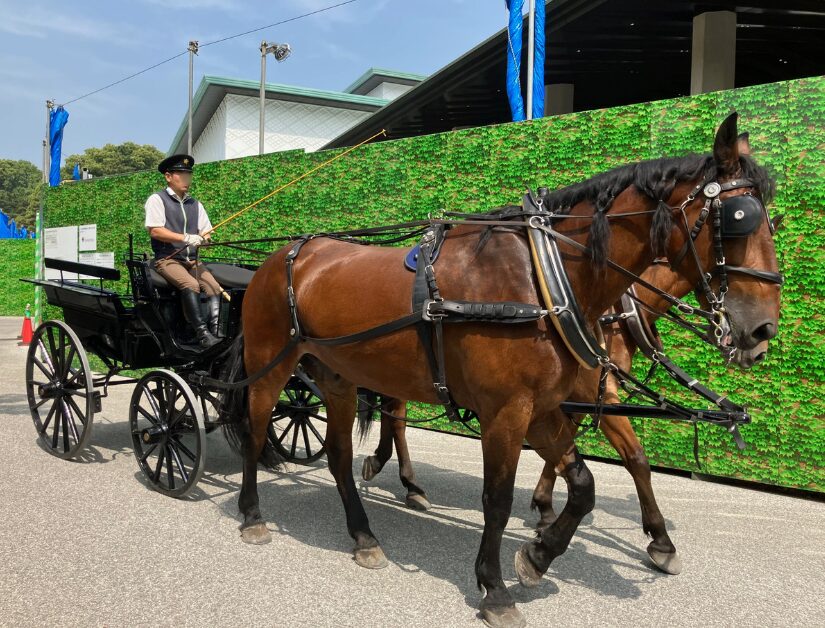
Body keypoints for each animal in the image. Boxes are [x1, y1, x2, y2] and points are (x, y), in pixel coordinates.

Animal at [220, 113, 781, 628]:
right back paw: (252, 514)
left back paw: (364, 534)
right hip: (270, 367)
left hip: (338, 377)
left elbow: (584, 484)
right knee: (254, 433)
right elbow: (497, 499)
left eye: (770, 222)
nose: (762, 331)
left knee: (338, 455)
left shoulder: (546, 408)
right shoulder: (507, 412)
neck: (544, 279)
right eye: (739, 215)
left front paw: (538, 554)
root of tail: (287, 254)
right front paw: (494, 588)